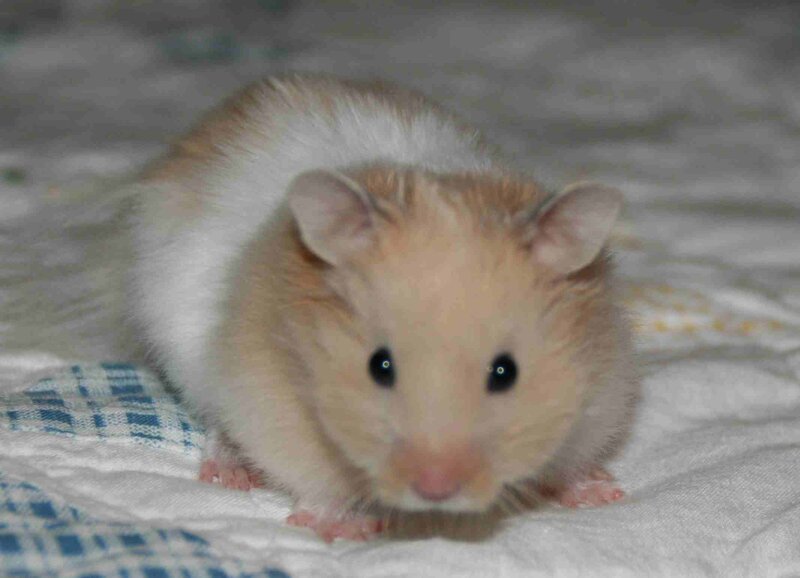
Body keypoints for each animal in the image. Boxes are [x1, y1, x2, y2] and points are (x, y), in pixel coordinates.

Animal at [128, 75, 638, 542]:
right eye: (380, 366)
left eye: (505, 372)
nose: (435, 490)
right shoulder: (268, 403)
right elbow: (315, 479)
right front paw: (343, 529)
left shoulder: (600, 394)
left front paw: (603, 492)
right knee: (216, 424)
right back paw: (230, 474)